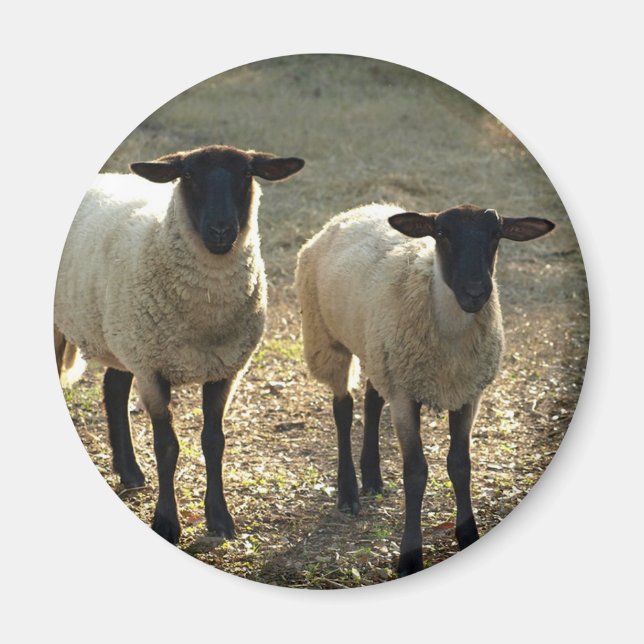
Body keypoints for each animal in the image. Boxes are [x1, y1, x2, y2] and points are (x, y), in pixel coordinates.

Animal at [55, 144, 304, 544]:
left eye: (246, 174)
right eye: (188, 176)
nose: (220, 229)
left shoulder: (224, 369)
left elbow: (213, 441)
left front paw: (220, 519)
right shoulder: (153, 369)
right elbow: (167, 446)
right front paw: (167, 522)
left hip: (125, 337)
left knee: (113, 387)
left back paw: (130, 472)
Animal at [295, 202, 554, 576]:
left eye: (496, 233)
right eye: (442, 233)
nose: (476, 292)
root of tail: (358, 209)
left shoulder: (467, 393)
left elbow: (460, 464)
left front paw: (468, 536)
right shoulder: (406, 396)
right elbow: (415, 472)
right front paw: (409, 556)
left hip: (378, 350)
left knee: (372, 400)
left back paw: (372, 477)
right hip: (327, 339)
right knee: (343, 409)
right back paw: (348, 493)